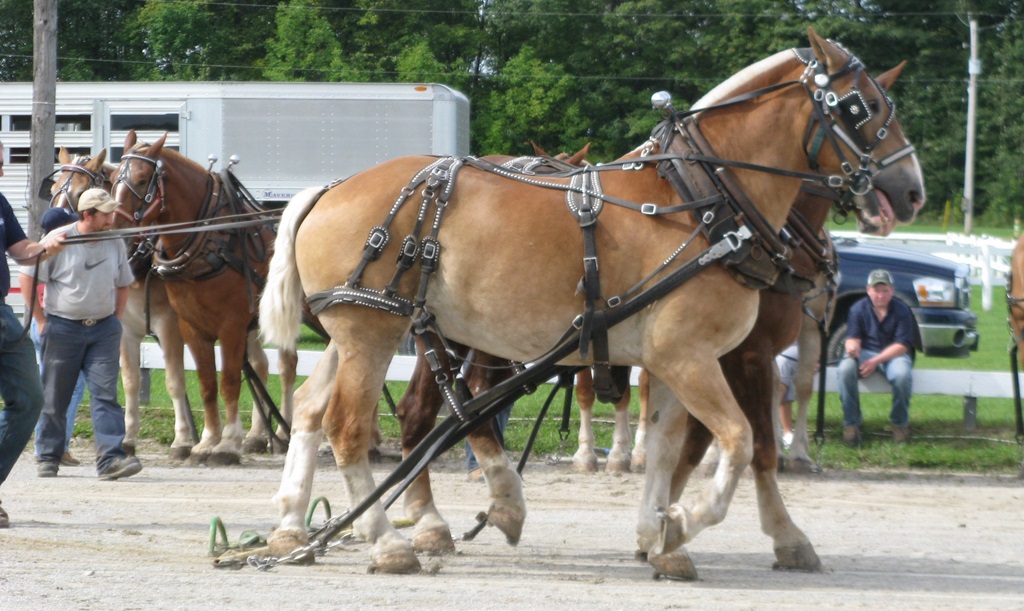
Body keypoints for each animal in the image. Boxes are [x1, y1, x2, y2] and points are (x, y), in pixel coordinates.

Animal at [111, 132, 299, 465]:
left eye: (143, 180)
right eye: (114, 180)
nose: (116, 227)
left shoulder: (226, 326)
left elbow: (226, 382)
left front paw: (225, 444)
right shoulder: (189, 327)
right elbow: (206, 383)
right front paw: (208, 440)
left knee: (294, 366)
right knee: (263, 365)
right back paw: (259, 437)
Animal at [259, 29, 924, 578]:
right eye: (863, 107)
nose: (912, 190)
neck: (702, 203)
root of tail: (330, 189)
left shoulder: (674, 361)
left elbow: (667, 451)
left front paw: (660, 536)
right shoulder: (695, 356)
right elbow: (741, 443)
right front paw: (694, 524)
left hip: (362, 333)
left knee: (311, 407)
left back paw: (294, 527)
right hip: (375, 334)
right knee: (353, 426)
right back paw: (390, 540)